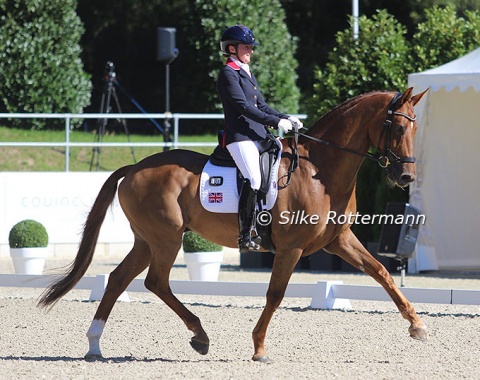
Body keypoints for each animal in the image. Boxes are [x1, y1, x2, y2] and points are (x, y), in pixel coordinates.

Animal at [38, 87, 428, 362]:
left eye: (415, 127)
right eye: (396, 126)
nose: (406, 176)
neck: (320, 170)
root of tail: (135, 167)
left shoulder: (340, 240)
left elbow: (382, 272)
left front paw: (418, 326)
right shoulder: (291, 248)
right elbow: (275, 294)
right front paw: (259, 348)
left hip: (146, 241)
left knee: (120, 279)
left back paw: (95, 345)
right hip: (166, 239)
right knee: (155, 281)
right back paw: (199, 335)